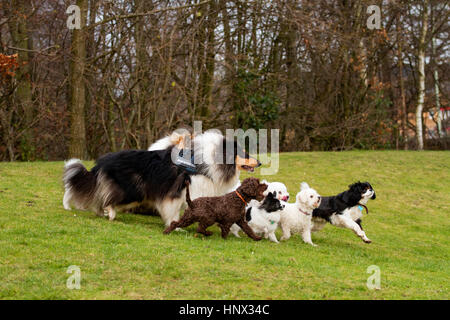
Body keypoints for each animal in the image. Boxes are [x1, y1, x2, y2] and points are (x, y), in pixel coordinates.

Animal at [62, 129, 260, 225]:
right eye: (244, 153)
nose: (259, 163)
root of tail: (102, 162)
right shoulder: (180, 191)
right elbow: (174, 208)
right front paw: (174, 224)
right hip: (133, 190)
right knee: (109, 198)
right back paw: (110, 213)